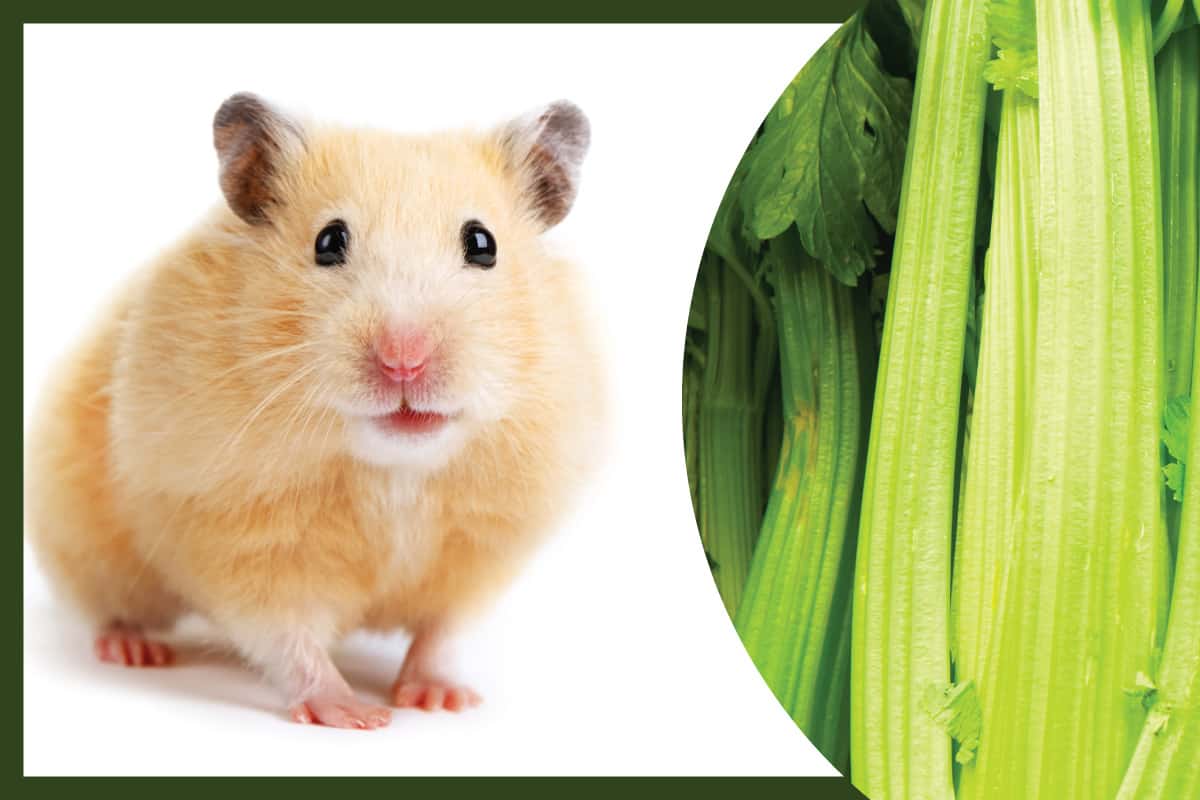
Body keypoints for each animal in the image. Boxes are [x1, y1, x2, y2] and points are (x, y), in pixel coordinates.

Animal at [24, 92, 602, 729]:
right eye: (329, 241)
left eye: (483, 244)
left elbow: (443, 633)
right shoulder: (236, 540)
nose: (404, 360)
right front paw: (358, 715)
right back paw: (133, 650)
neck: (394, 469)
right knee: (108, 607)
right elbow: (288, 637)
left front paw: (441, 700)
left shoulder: (481, 552)